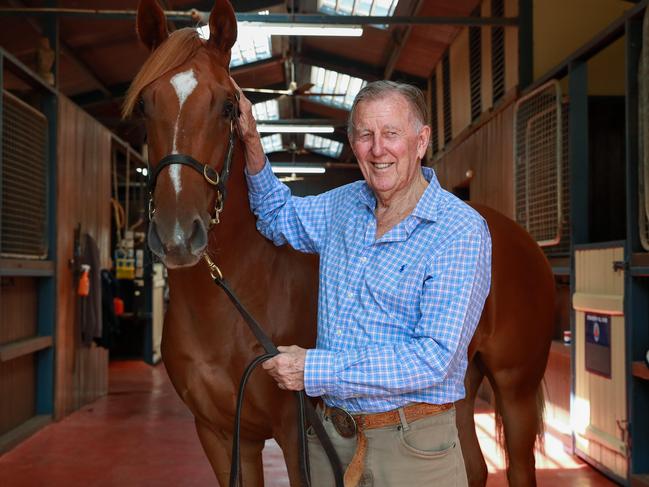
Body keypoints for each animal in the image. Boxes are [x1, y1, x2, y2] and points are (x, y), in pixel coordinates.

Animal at [125, 1, 552, 486]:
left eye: (228, 106)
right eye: (145, 105)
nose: (178, 234)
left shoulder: (297, 436)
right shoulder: (220, 435)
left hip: (515, 388)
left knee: (517, 463)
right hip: (457, 387)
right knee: (473, 465)